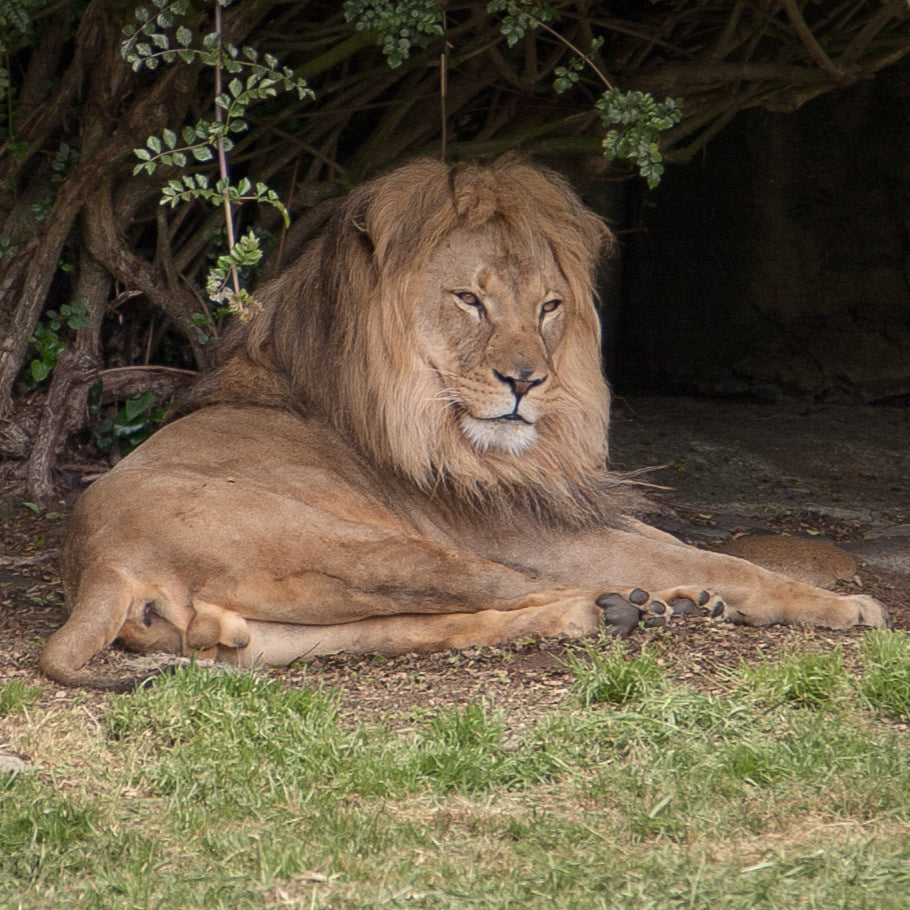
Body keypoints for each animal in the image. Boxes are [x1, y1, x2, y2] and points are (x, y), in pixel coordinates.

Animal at [42, 155, 892, 692]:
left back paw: (622, 610)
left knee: (416, 628)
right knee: (513, 591)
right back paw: (636, 606)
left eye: (549, 306)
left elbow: (683, 543)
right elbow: (725, 560)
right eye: (470, 301)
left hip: (298, 624)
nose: (526, 381)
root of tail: (103, 563)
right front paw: (843, 606)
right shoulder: (533, 532)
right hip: (389, 550)